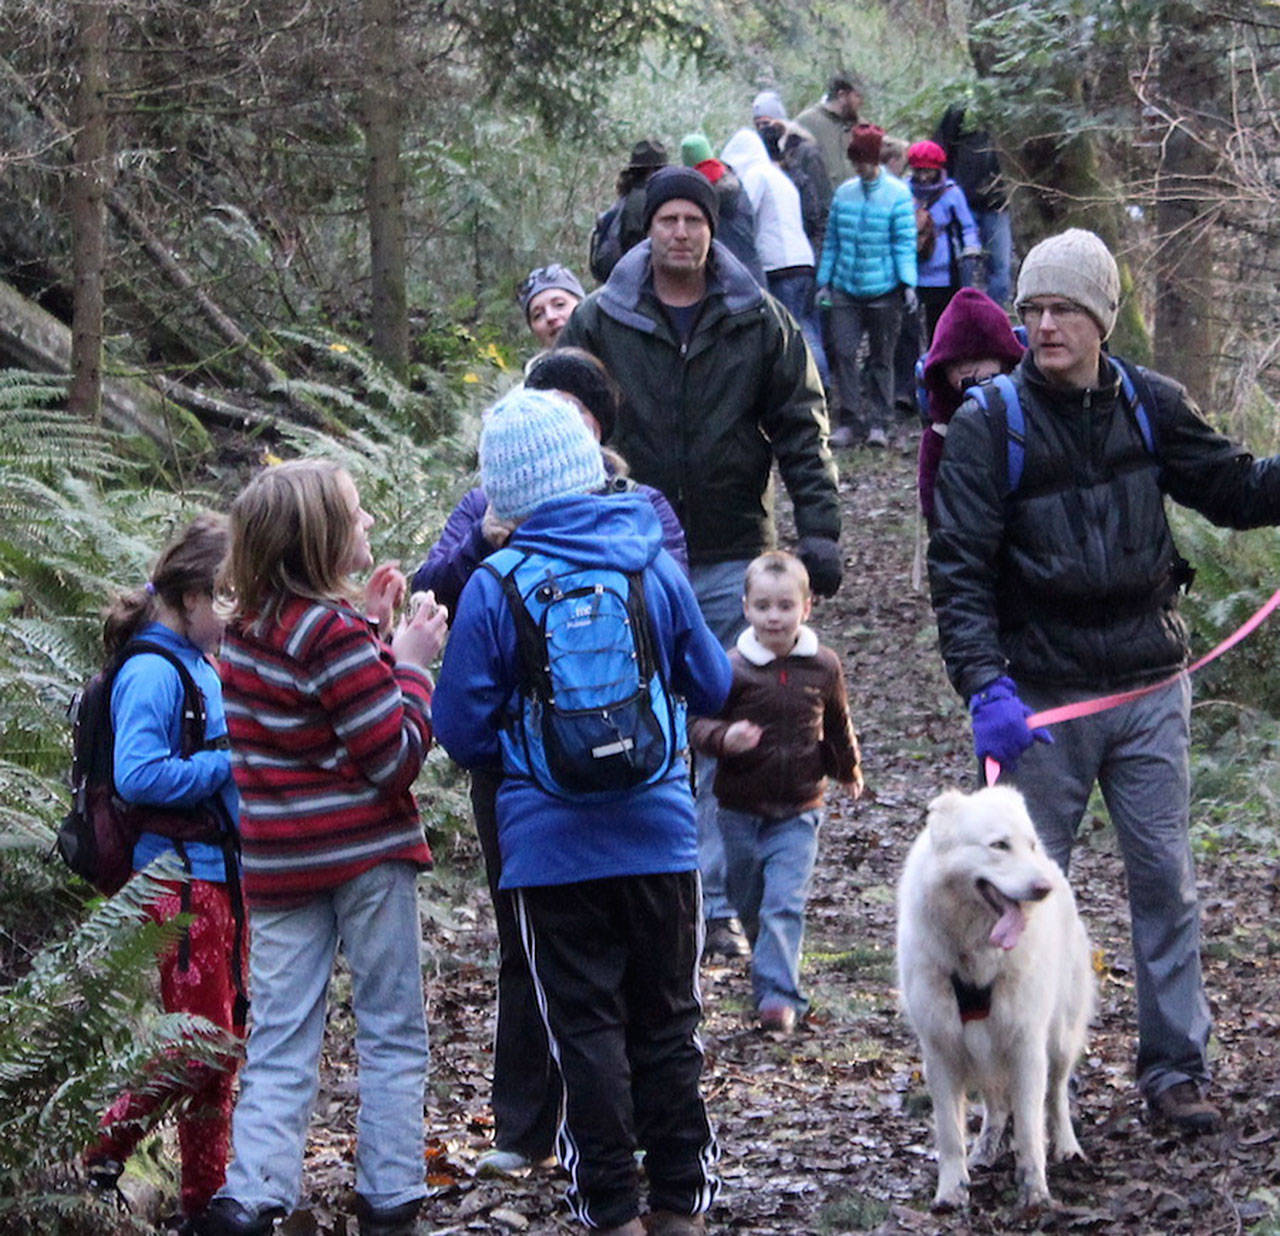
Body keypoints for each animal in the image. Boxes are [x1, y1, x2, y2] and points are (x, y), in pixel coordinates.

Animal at [896, 793, 1095, 1207]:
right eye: (999, 845)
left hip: (1059, 1040)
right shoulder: (940, 1050)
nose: (1043, 889)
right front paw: (951, 1190)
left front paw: (1035, 1192)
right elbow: (949, 1133)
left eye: (1028, 845)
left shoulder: (1027, 1047)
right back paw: (985, 1150)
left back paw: (1067, 1147)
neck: (974, 954)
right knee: (996, 1104)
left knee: (1056, 1096)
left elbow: (1031, 1129)